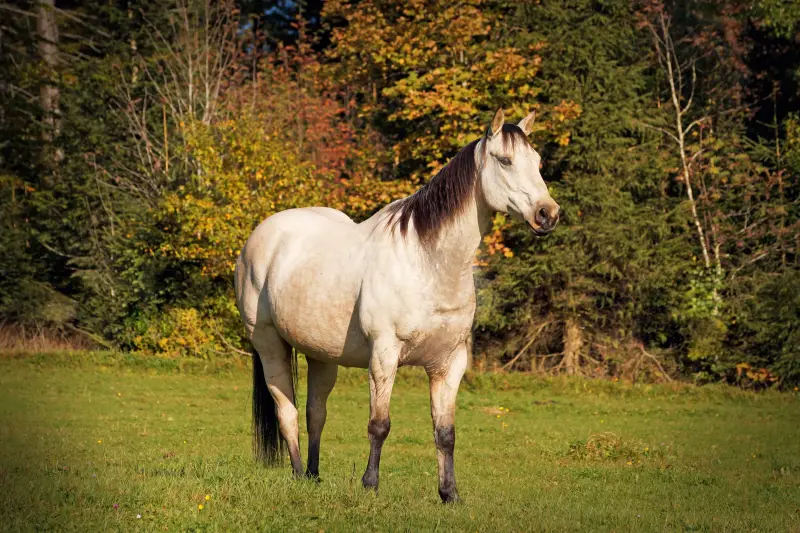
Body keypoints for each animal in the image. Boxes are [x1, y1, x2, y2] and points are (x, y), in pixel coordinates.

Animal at [234, 108, 560, 503]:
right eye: (505, 160)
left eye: (538, 162)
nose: (547, 214)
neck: (427, 263)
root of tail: (262, 235)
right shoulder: (384, 356)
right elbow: (380, 425)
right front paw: (370, 485)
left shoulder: (449, 364)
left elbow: (445, 432)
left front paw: (449, 493)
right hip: (269, 345)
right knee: (288, 412)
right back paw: (298, 474)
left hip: (321, 354)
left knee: (316, 412)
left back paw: (313, 475)